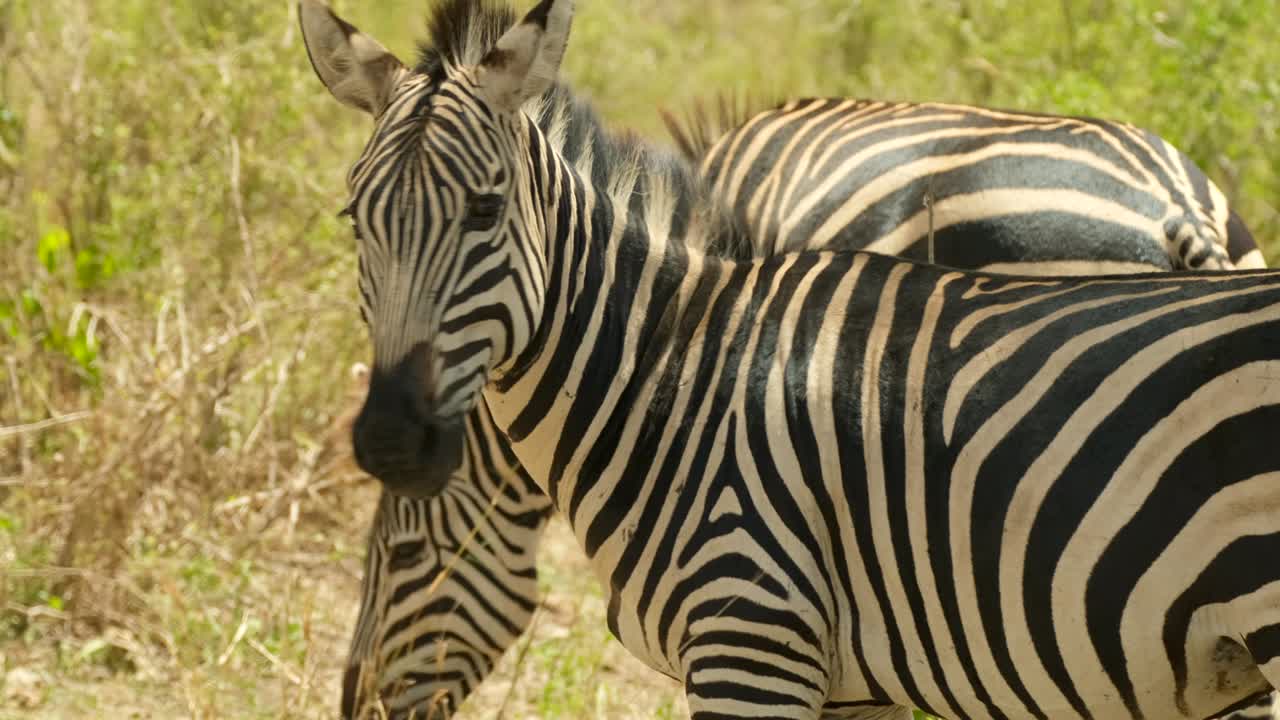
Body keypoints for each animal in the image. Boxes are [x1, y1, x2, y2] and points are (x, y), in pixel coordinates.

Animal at [301, 0, 1280, 718]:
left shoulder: (754, 636)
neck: (673, 373)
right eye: (354, 217)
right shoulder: (863, 670)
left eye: (485, 210)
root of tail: (1176, 202)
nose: (389, 441)